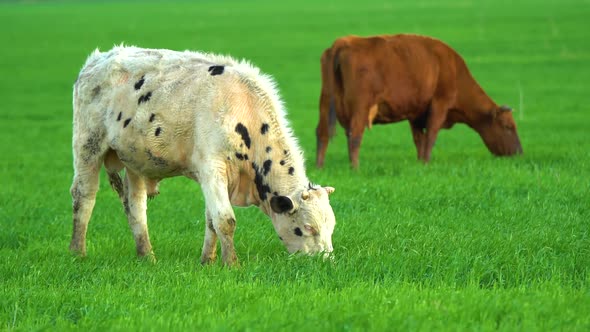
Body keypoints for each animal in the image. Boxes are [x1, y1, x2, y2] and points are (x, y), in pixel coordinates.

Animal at [70, 45, 338, 266]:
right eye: (307, 228)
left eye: (331, 226)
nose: (325, 261)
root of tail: (98, 59)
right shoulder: (212, 169)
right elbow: (225, 220)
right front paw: (232, 264)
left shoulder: (219, 178)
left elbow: (211, 221)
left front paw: (207, 261)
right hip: (87, 147)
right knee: (84, 196)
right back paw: (78, 252)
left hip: (134, 161)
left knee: (136, 207)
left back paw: (147, 256)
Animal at [316, 34, 524, 169]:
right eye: (508, 127)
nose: (519, 153)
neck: (453, 69)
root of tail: (345, 41)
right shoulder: (440, 104)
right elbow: (431, 135)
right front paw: (426, 163)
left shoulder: (415, 113)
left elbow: (419, 139)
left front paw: (419, 161)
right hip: (360, 107)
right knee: (355, 135)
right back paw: (355, 168)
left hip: (325, 102)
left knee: (323, 133)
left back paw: (319, 166)